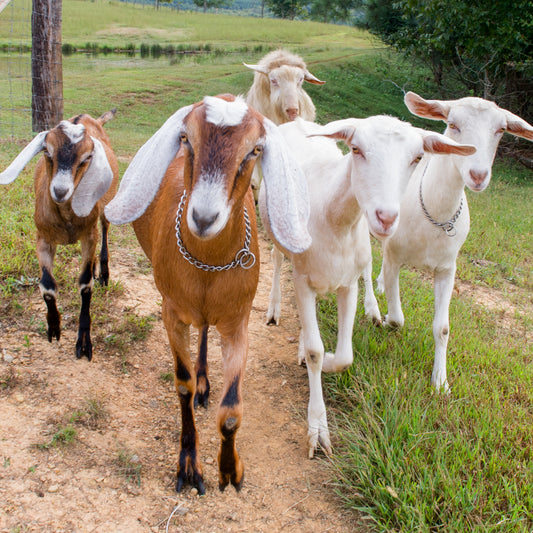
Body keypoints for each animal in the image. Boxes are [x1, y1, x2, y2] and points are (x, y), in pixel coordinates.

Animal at [0, 109, 118, 360]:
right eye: (47, 151)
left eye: (86, 158)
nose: (60, 191)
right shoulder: (43, 238)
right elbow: (47, 285)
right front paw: (54, 328)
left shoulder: (88, 236)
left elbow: (85, 285)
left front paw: (83, 343)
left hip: (105, 207)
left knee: (104, 230)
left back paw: (103, 273)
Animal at [104, 92, 310, 494]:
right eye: (186, 139)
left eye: (255, 149)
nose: (203, 218)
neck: (208, 267)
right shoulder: (171, 313)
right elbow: (181, 386)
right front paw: (188, 466)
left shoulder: (238, 323)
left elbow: (230, 410)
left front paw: (230, 471)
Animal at [260, 114, 472, 456]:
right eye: (356, 149)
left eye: (417, 157)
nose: (385, 217)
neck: (332, 220)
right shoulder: (303, 280)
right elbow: (317, 350)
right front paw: (318, 430)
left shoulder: (348, 284)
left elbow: (344, 356)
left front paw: (328, 359)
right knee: (277, 259)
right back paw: (274, 309)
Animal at [374, 91, 532, 390]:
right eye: (453, 124)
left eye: (501, 130)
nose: (478, 175)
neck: (433, 217)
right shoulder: (394, 255)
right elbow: (398, 318)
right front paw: (386, 319)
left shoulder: (447, 268)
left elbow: (443, 327)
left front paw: (440, 382)